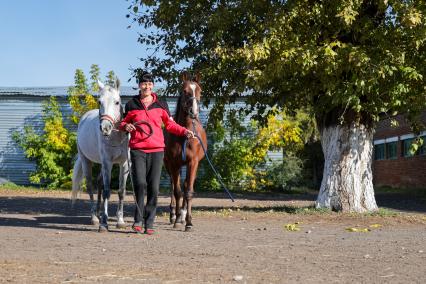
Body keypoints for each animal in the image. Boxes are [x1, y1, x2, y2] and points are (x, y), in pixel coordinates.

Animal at [71, 79, 129, 232]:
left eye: (117, 102)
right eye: (99, 102)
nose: (105, 128)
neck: (116, 136)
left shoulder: (124, 163)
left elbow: (121, 191)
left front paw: (120, 221)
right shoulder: (108, 162)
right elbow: (107, 191)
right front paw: (104, 223)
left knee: (99, 183)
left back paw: (98, 212)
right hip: (86, 161)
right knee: (91, 186)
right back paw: (94, 217)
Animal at [164, 72, 207, 232]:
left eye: (200, 90)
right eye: (185, 91)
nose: (193, 112)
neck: (185, 133)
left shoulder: (193, 163)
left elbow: (188, 191)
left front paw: (188, 221)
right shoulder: (174, 164)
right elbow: (177, 192)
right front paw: (176, 220)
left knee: (186, 184)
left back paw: (182, 215)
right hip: (169, 165)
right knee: (173, 186)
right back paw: (173, 215)